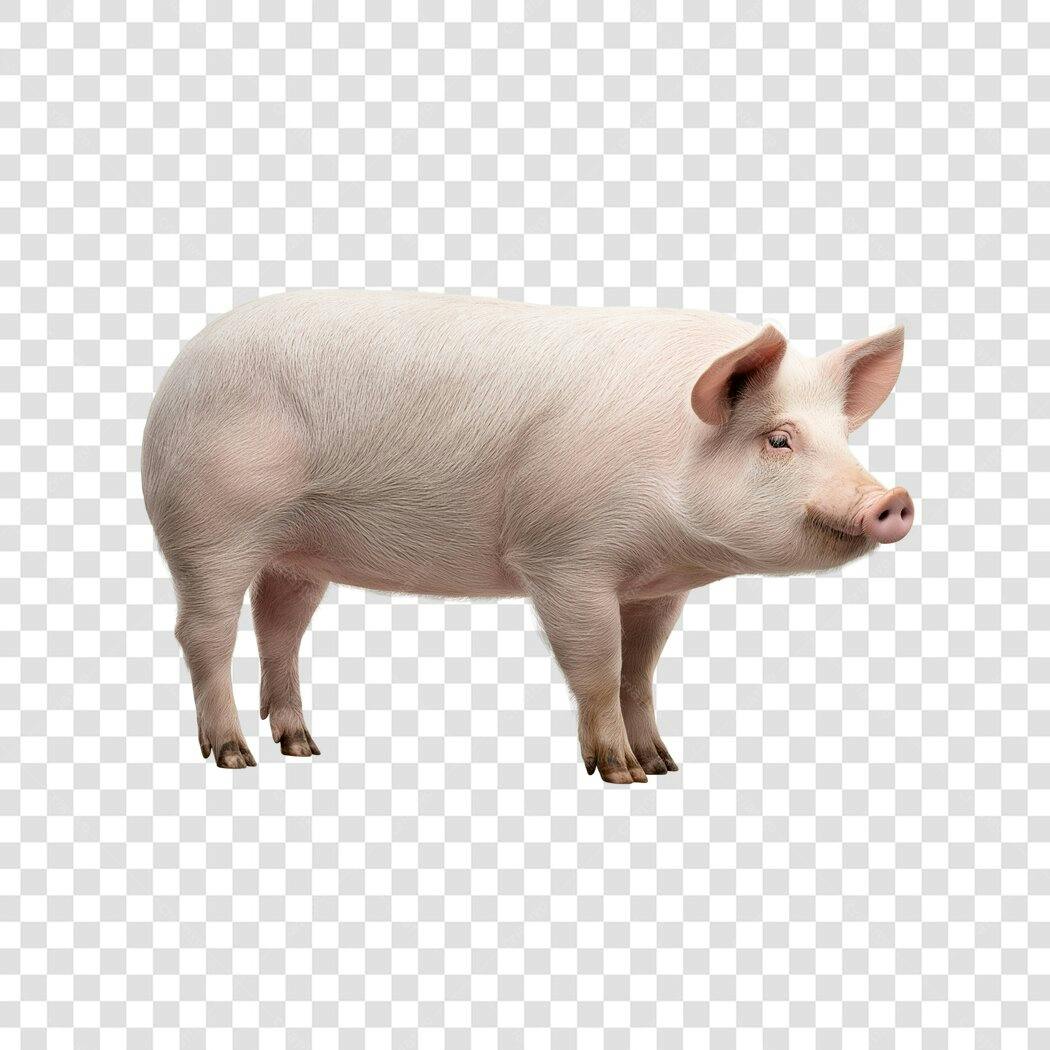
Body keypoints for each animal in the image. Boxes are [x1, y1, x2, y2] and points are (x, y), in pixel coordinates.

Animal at [141, 290, 914, 782]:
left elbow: (640, 672)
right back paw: (234, 756)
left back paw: (302, 747)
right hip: (208, 522)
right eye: (779, 439)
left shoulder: (658, 586)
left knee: (278, 626)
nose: (894, 499)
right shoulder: (562, 557)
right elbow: (599, 666)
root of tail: (177, 371)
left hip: (296, 550)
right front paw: (622, 775)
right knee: (202, 633)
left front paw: (665, 764)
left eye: (843, 438)